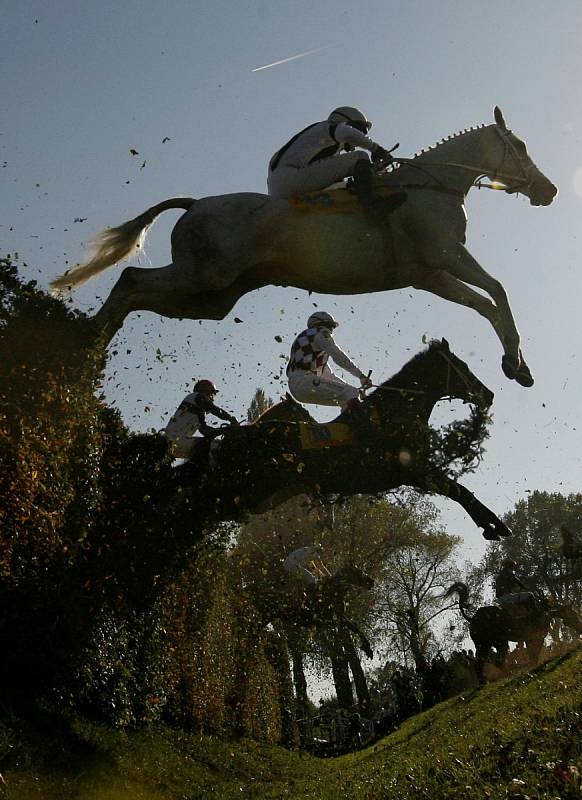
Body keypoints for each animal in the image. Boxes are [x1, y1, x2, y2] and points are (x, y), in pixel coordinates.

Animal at [52, 108, 560, 388]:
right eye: (519, 144)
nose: (549, 190)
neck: (432, 186)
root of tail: (195, 204)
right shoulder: (446, 257)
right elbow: (499, 292)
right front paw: (515, 359)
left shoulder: (430, 275)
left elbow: (487, 305)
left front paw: (517, 365)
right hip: (202, 277)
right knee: (130, 280)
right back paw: (86, 344)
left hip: (210, 299)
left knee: (138, 295)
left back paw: (91, 350)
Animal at [203, 338, 512, 544]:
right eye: (462, 366)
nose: (489, 394)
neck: (395, 411)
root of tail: (235, 437)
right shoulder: (415, 469)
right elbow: (460, 491)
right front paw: (496, 526)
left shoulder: (416, 473)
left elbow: (459, 491)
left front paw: (492, 526)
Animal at [448, 580, 582, 680]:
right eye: (574, 613)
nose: (580, 625)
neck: (545, 610)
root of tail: (473, 618)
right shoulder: (534, 637)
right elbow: (534, 653)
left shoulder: (533, 638)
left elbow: (533, 653)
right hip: (495, 643)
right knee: (495, 662)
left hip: (486, 645)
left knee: (484, 662)